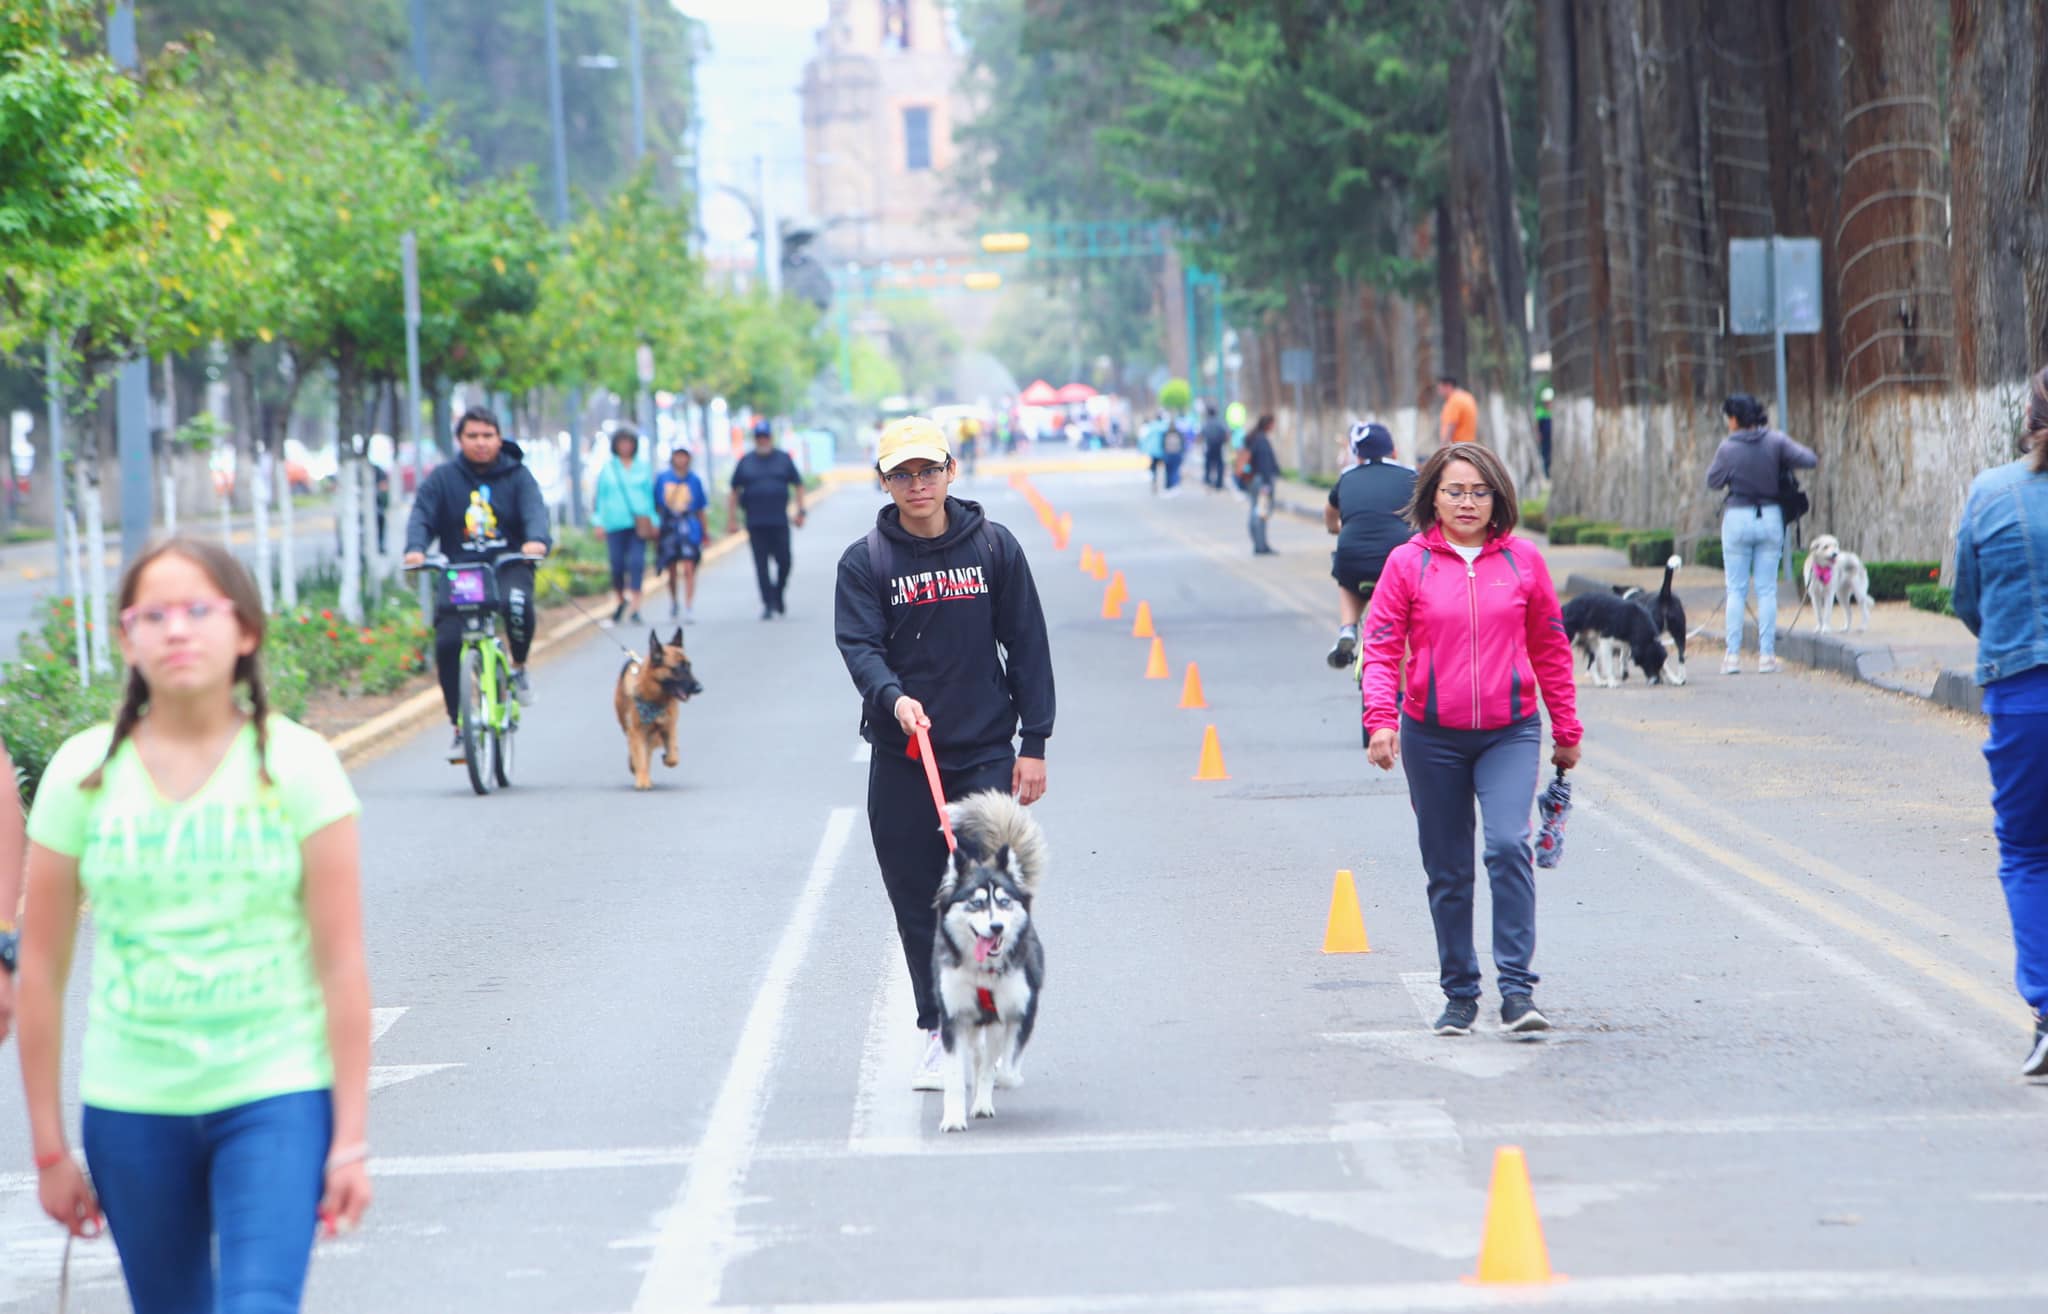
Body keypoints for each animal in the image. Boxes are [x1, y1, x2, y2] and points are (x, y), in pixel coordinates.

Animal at [606, 626, 704, 785]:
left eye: (689, 666)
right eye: (676, 669)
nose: (700, 688)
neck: (654, 698)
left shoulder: (669, 727)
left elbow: (673, 757)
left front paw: (667, 757)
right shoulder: (637, 731)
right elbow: (639, 755)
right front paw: (642, 780)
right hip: (629, 727)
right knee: (634, 747)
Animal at [937, 785, 1048, 1129]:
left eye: (1003, 902)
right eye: (975, 903)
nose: (996, 926)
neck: (982, 971)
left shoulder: (1017, 1011)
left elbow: (1003, 1067)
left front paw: (996, 1087)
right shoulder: (954, 1017)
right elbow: (956, 1075)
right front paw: (953, 1118)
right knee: (976, 1053)